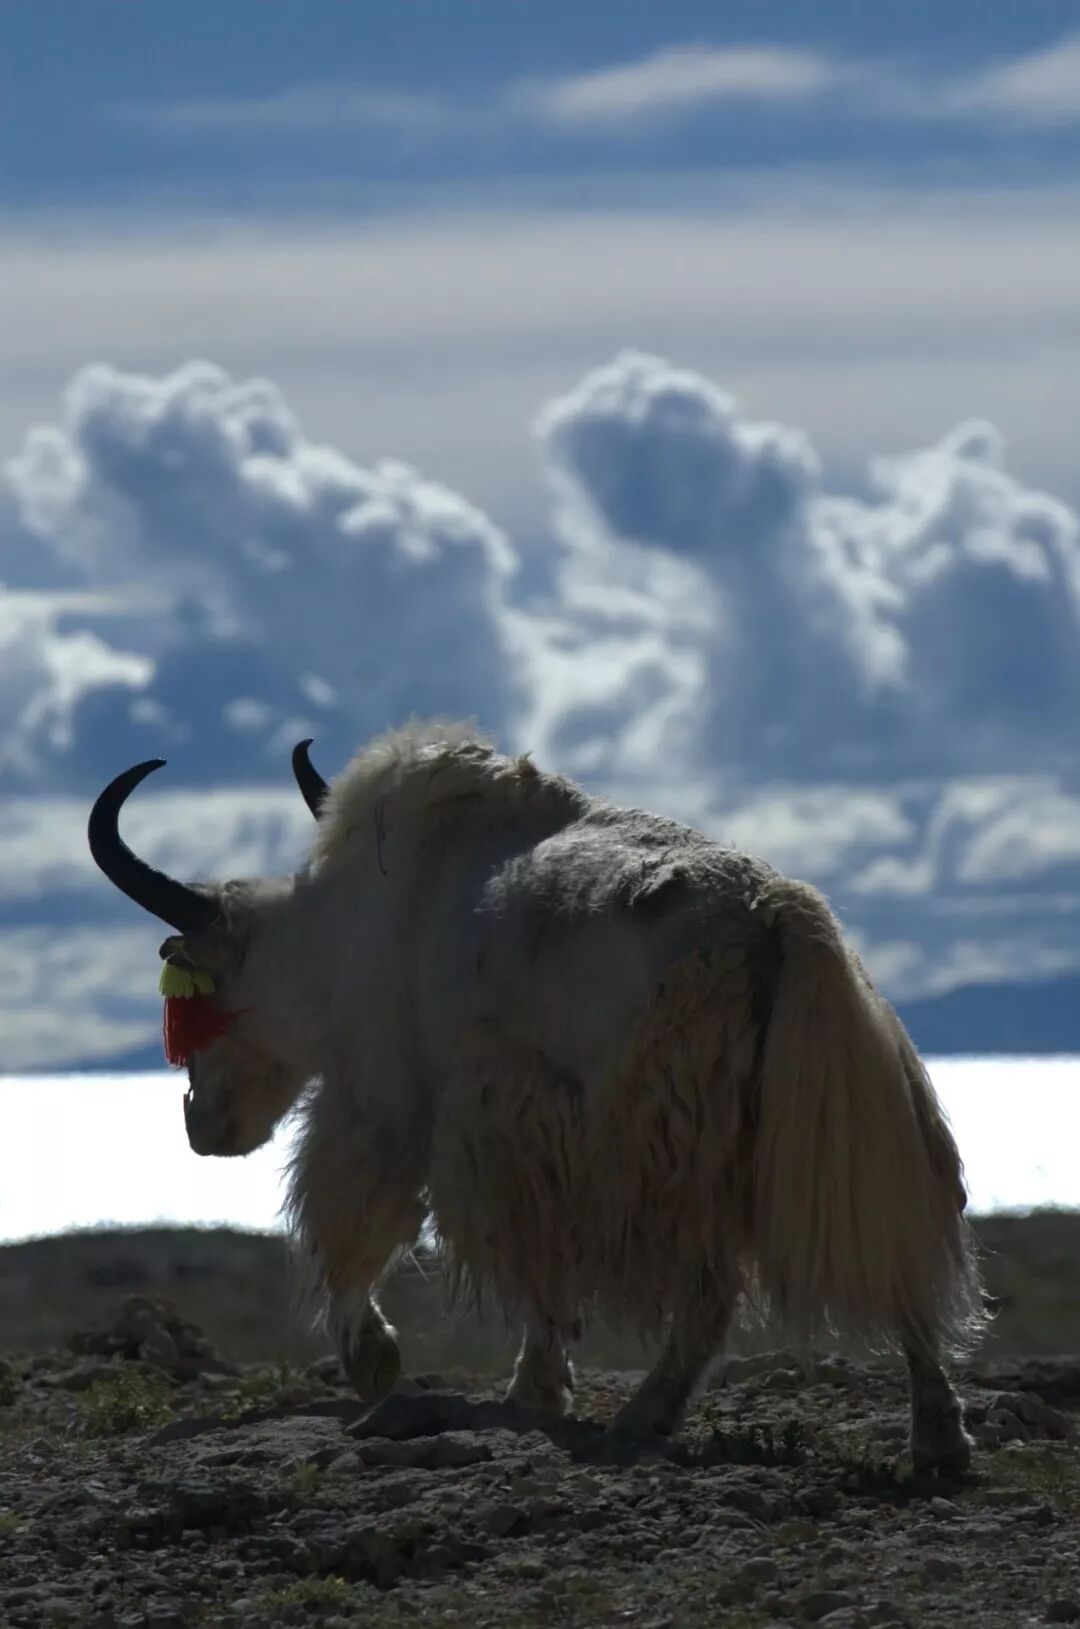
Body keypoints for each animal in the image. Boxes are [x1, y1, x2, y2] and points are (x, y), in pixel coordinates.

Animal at [88, 719, 985, 1472]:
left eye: (193, 999)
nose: (201, 1125)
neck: (336, 937)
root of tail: (778, 917)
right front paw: (529, 1387)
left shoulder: (399, 1107)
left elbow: (355, 1229)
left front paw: (394, 1364)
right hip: (842, 1114)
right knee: (889, 1245)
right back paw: (939, 1443)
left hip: (668, 1142)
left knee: (711, 1291)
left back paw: (642, 1419)